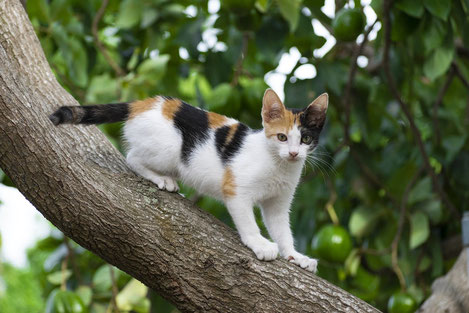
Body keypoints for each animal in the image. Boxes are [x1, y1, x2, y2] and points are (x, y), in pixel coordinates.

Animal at [49, 88, 328, 270]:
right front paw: (260, 244)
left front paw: (294, 256)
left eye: (305, 139)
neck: (278, 164)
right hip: (168, 148)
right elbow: (248, 222)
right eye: (282, 137)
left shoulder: (278, 204)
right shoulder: (236, 189)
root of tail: (143, 104)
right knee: (131, 157)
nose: (293, 153)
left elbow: (282, 230)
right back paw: (162, 179)